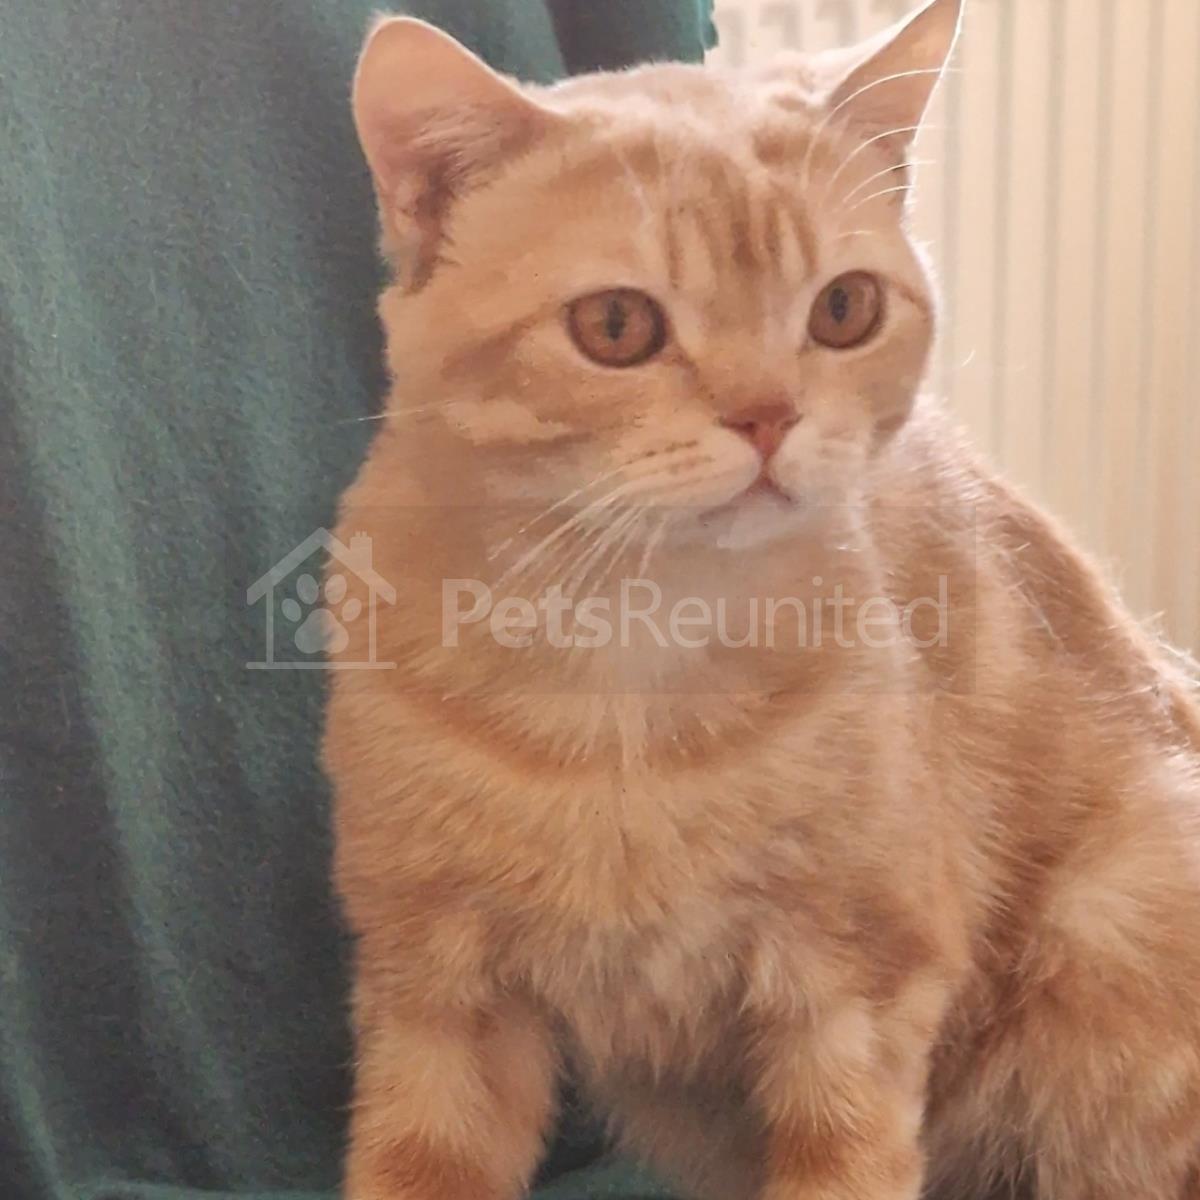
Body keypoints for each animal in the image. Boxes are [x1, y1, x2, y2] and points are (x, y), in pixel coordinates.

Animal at [324, 1, 1200, 1197]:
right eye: (615, 327)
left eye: (844, 308)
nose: (767, 415)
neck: (628, 654)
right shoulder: (436, 995)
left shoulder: (857, 989)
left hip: (1112, 927)